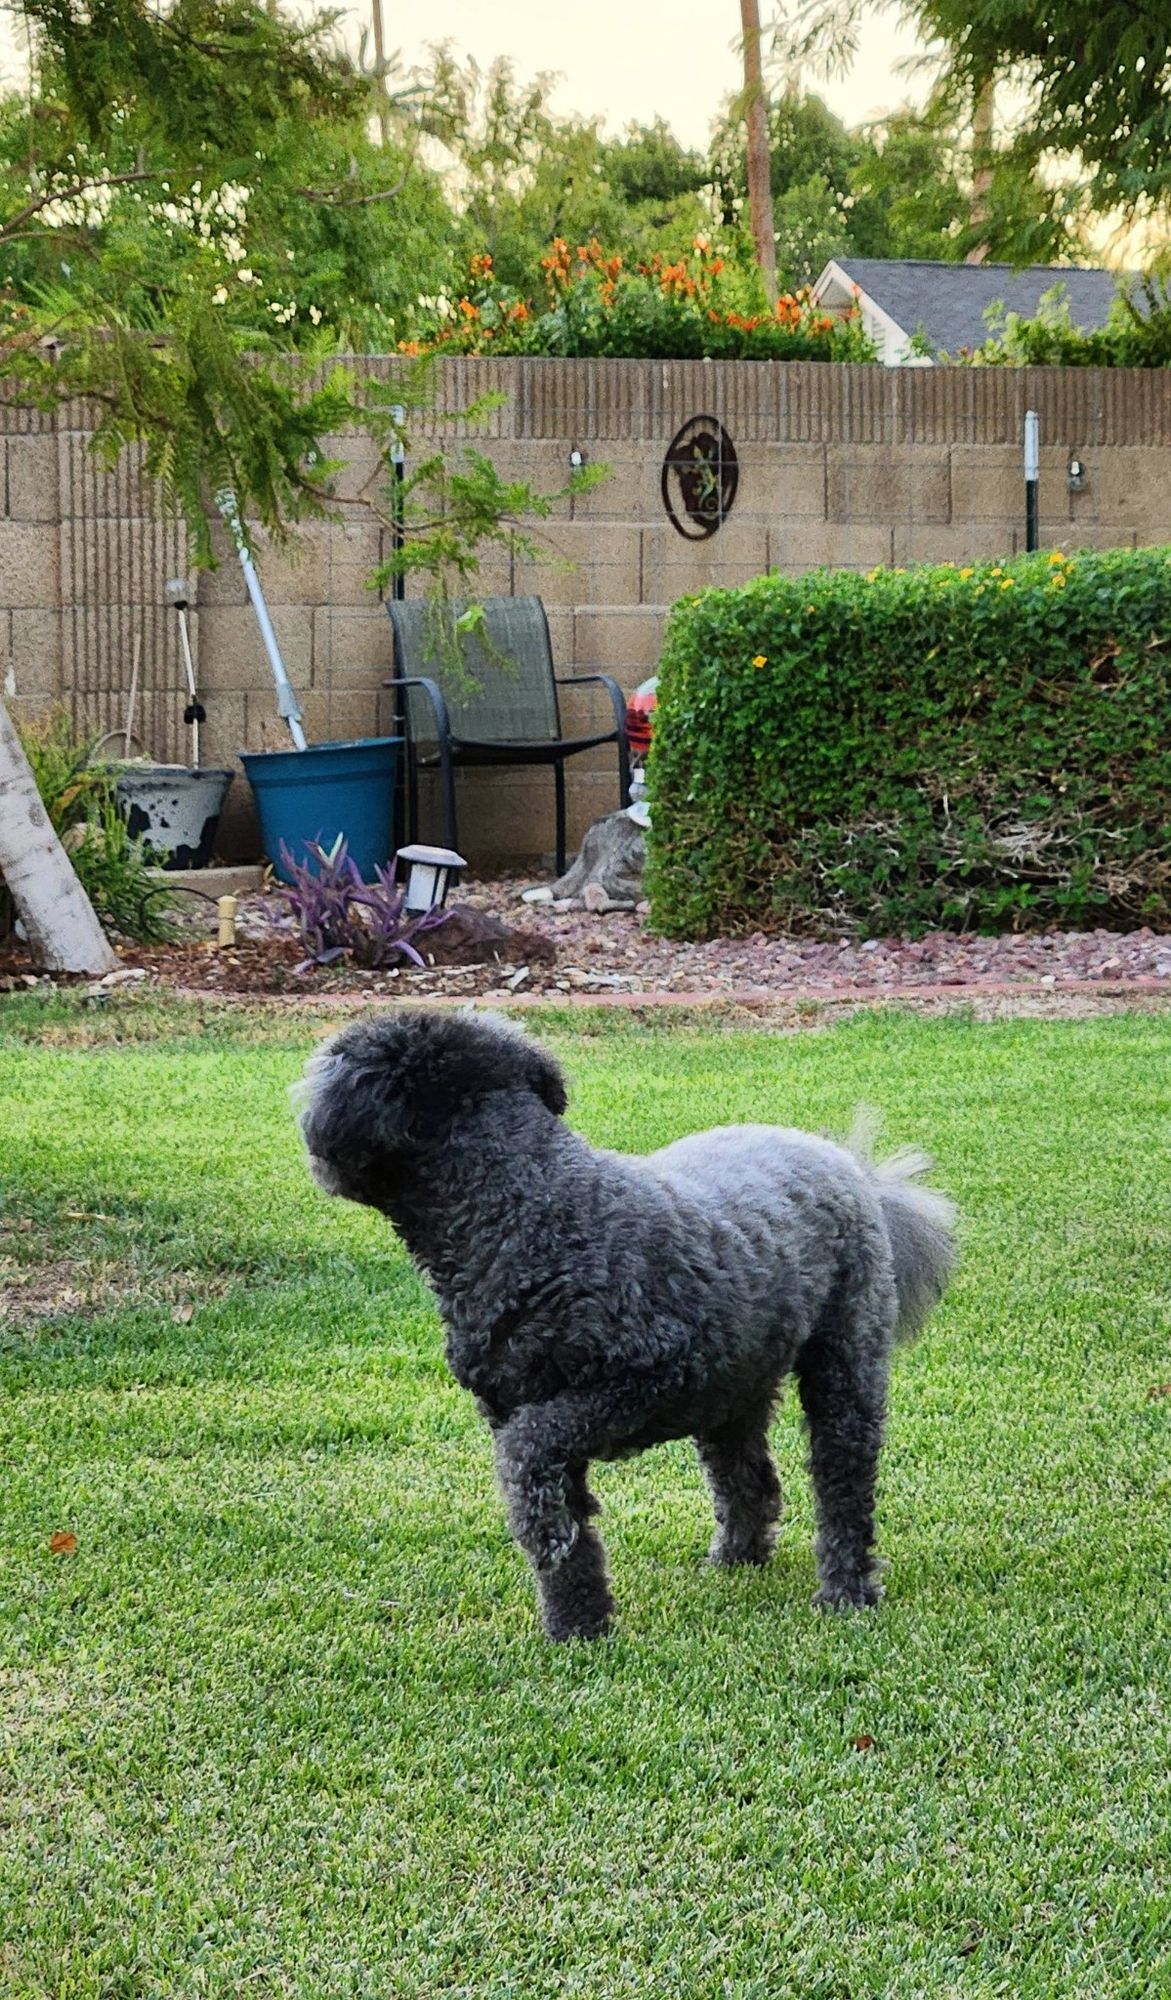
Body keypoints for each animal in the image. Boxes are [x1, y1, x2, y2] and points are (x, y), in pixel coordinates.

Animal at [295, 1016, 951, 1640]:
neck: (528, 1211)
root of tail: (846, 1162)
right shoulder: (514, 1405)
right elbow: (571, 1536)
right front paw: (578, 1628)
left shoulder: (642, 1379)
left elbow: (529, 1452)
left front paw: (548, 1537)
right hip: (732, 1387)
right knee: (750, 1479)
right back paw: (736, 1558)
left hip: (843, 1361)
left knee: (843, 1485)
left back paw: (846, 1590)